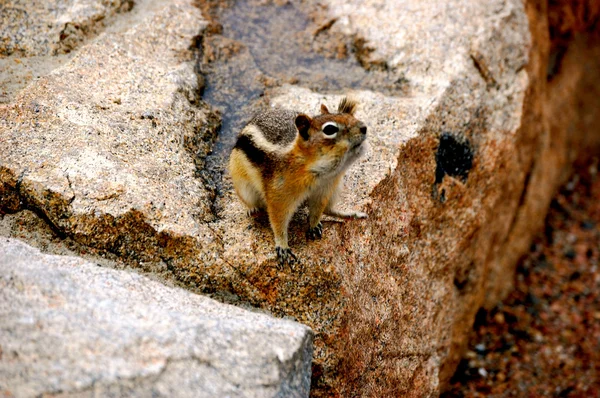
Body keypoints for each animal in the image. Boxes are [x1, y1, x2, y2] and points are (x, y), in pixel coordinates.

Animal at [229, 97, 366, 264]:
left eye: (351, 116)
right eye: (329, 129)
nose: (364, 127)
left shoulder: (325, 190)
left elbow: (318, 211)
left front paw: (314, 225)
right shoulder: (279, 197)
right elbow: (277, 221)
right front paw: (282, 246)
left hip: (337, 189)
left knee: (328, 209)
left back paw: (350, 214)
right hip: (244, 188)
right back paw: (253, 210)